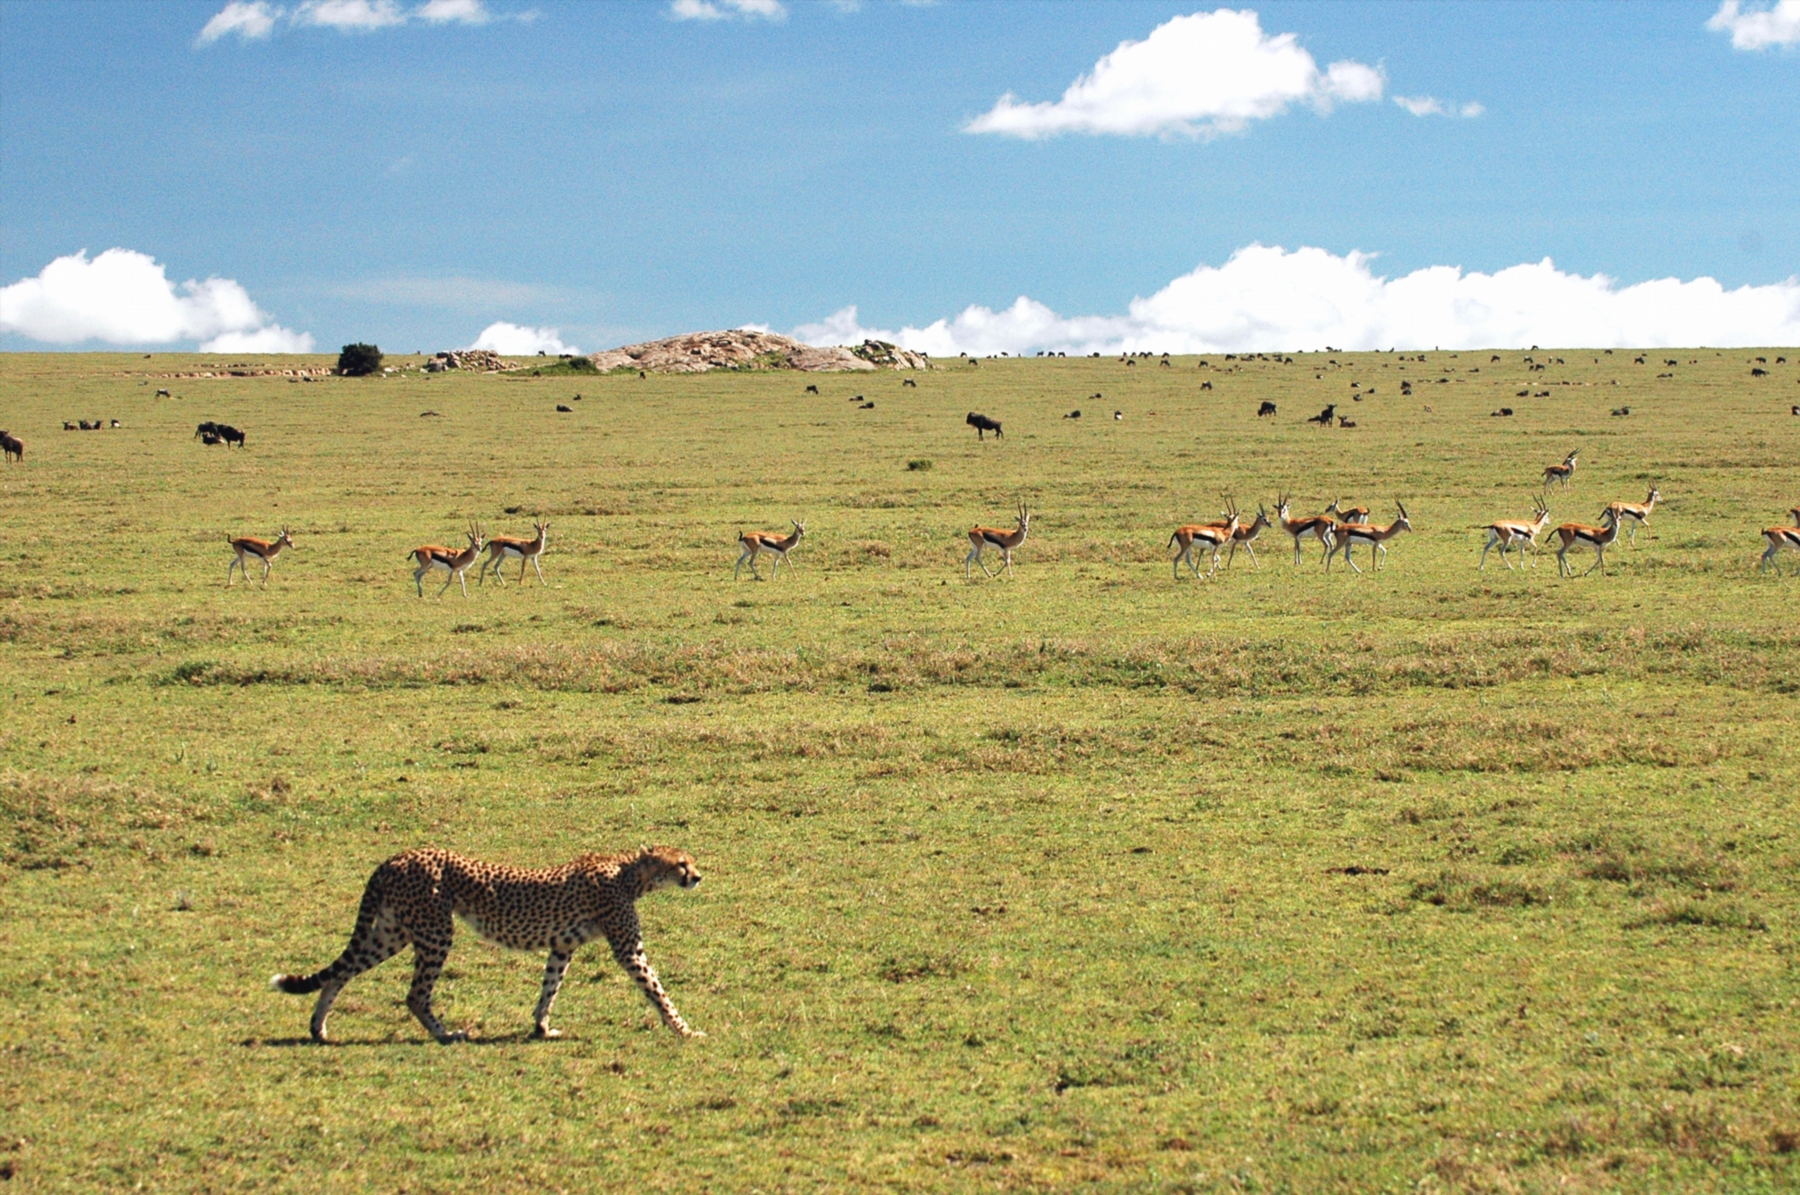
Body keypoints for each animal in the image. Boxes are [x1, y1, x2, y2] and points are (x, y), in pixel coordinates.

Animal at [270, 845, 705, 1043]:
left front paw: (541, 1027)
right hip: (434, 931)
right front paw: (684, 1029)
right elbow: (657, 989)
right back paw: (446, 1034)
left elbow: (550, 988)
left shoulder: (562, 946)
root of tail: (398, 857)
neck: (629, 873)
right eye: (681, 864)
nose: (698, 877)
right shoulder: (628, 949)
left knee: (341, 971)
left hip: (393, 932)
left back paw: (318, 1027)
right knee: (415, 994)